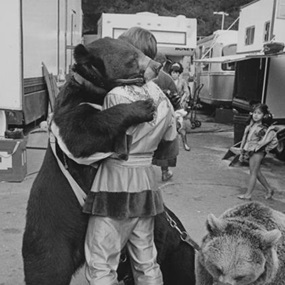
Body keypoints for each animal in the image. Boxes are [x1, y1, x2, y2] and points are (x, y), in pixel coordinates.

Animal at [22, 37, 195, 284]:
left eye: (138, 51)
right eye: (132, 59)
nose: (157, 66)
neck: (95, 90)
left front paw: (170, 97)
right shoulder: (71, 109)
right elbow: (82, 132)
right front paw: (142, 107)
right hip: (50, 236)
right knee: (47, 270)